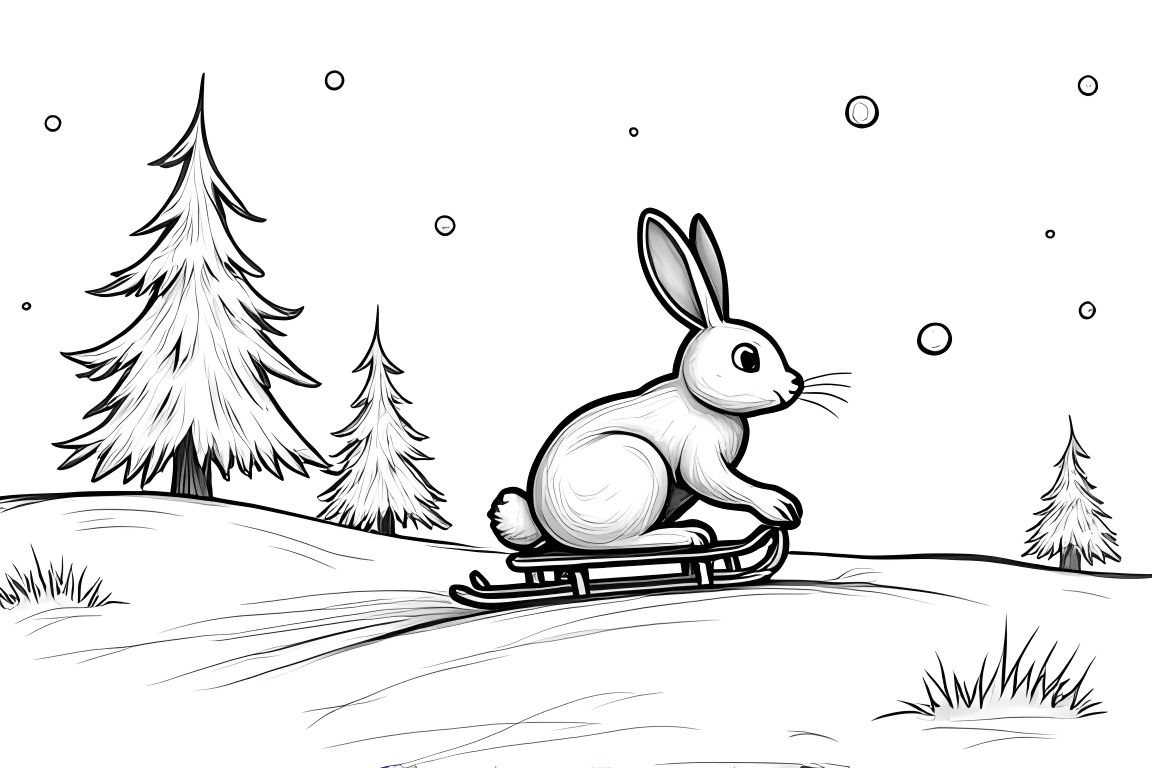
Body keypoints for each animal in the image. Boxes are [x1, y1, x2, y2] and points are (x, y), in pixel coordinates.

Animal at [490, 208, 804, 551]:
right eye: (748, 359)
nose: (795, 384)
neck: (700, 403)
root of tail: (544, 523)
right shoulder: (700, 456)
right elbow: (718, 483)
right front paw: (779, 505)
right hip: (639, 465)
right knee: (611, 545)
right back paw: (686, 535)